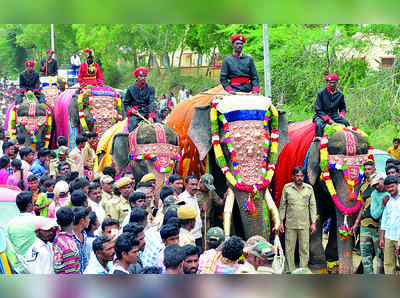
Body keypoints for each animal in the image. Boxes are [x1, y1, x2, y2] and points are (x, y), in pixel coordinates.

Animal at [276, 120, 372, 274]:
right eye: (333, 171)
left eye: (363, 173)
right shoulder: (310, 175)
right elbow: (315, 211)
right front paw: (318, 268)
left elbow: (334, 215)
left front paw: (333, 264)